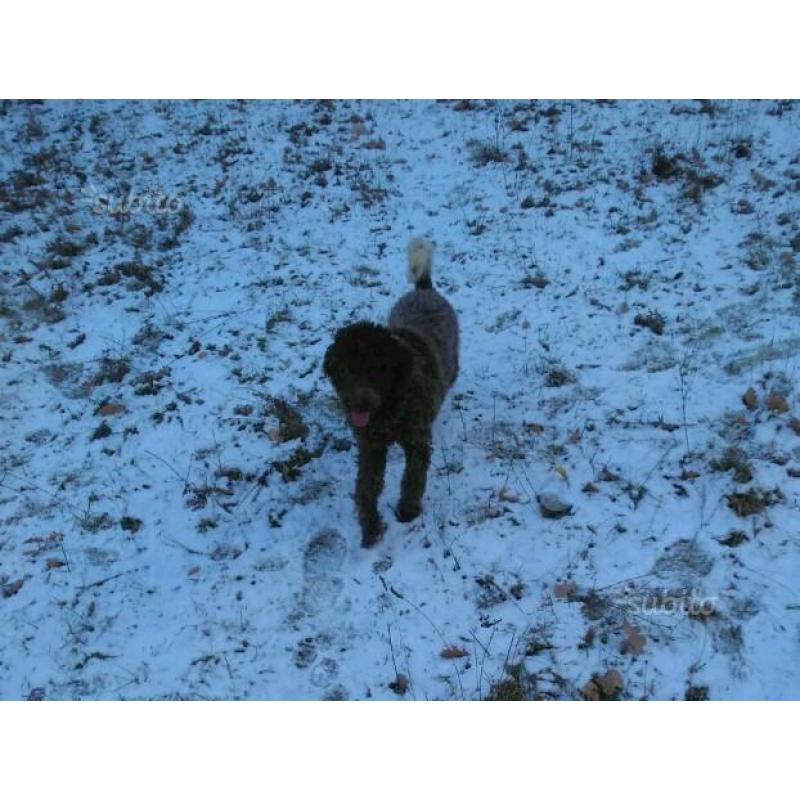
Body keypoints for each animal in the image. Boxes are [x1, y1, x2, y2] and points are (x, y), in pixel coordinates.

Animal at [324, 238, 460, 548]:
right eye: (345, 370)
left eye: (377, 369)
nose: (358, 405)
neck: (389, 406)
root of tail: (423, 289)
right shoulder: (371, 447)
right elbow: (366, 487)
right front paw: (370, 527)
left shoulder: (417, 440)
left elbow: (413, 477)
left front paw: (408, 510)